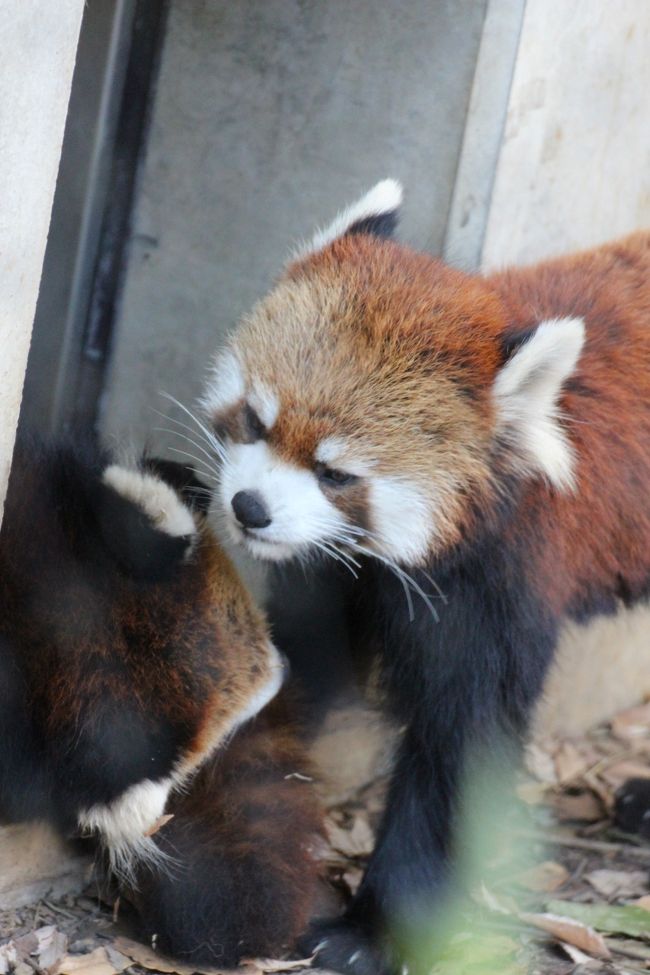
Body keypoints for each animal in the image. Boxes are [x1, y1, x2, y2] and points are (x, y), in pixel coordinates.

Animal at [201, 183, 650, 975]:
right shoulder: (334, 576)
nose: (249, 508)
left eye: (336, 473)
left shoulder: (500, 588)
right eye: (255, 420)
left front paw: (372, 932)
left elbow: (461, 749)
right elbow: (299, 669)